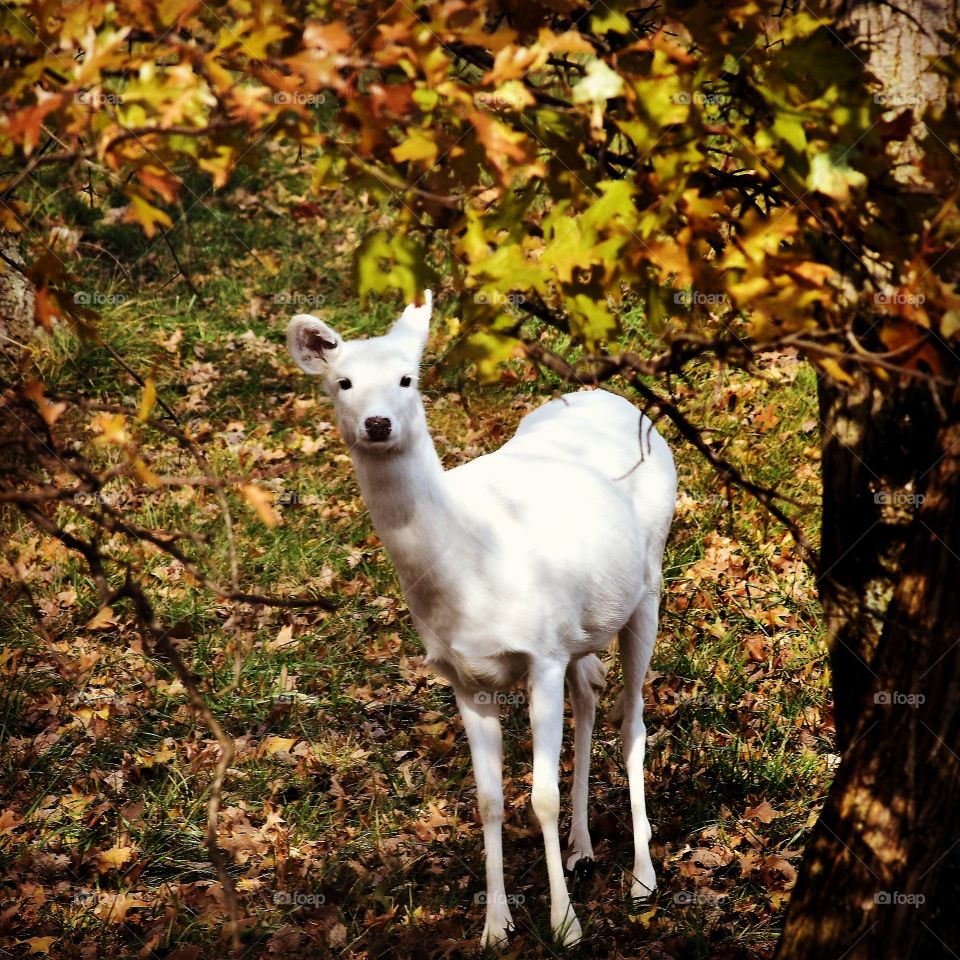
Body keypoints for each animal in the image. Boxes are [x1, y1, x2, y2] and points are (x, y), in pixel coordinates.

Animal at [284, 290, 676, 944]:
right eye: (343, 382)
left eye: (407, 378)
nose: (378, 423)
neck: (473, 566)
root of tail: (613, 397)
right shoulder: (464, 676)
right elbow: (488, 800)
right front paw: (495, 926)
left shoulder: (541, 654)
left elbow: (539, 797)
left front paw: (565, 925)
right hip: (581, 627)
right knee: (591, 695)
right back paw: (582, 847)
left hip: (648, 587)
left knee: (634, 720)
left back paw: (642, 878)